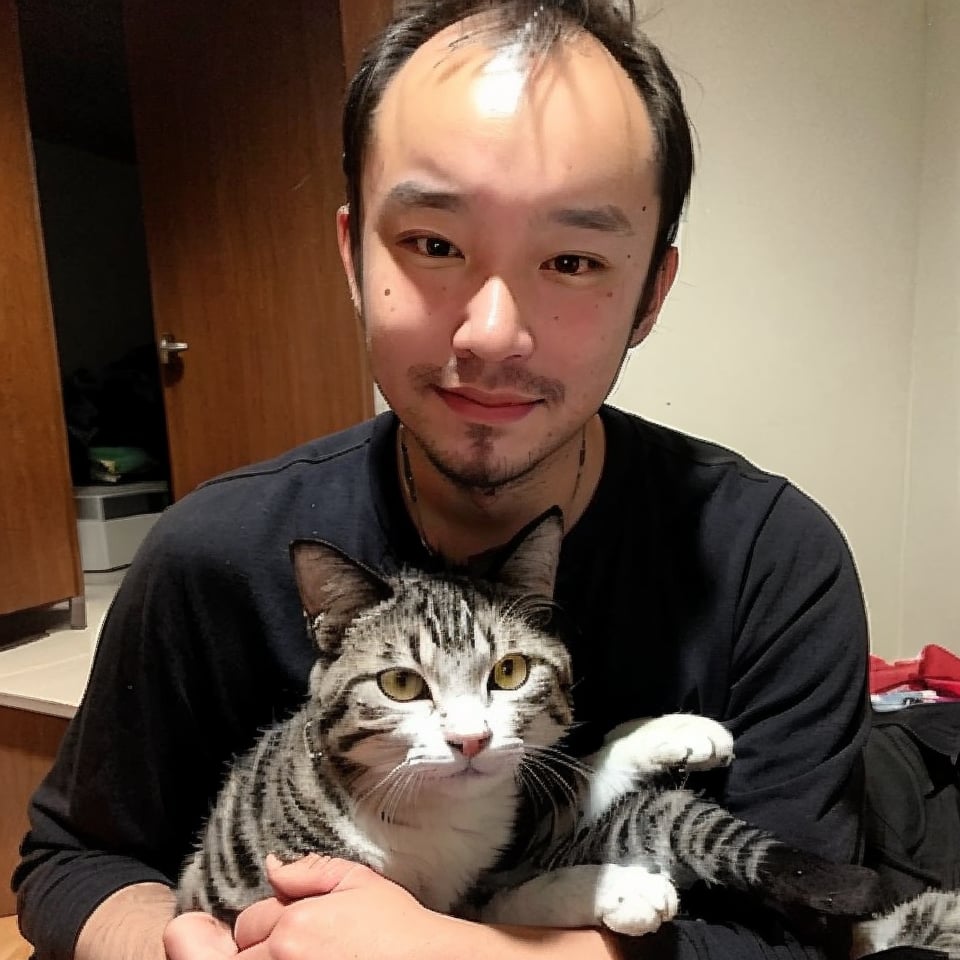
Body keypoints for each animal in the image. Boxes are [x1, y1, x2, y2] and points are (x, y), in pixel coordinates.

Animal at [176, 510, 960, 952]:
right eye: (401, 685)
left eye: (510, 670)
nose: (469, 741)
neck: (438, 816)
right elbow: (476, 917)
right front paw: (627, 888)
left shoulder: (511, 820)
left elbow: (563, 792)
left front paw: (675, 733)